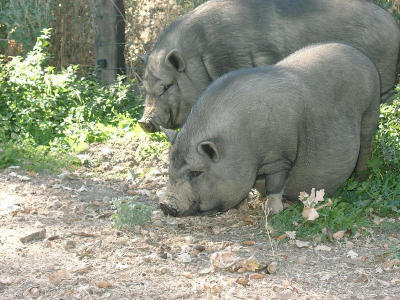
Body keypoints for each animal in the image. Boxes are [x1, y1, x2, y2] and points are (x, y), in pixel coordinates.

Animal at [138, 0, 400, 132]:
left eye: (167, 86)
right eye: (146, 88)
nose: (143, 122)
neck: (201, 55)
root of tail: (393, 23)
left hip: (383, 75)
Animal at [158, 42, 380, 216]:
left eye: (196, 172)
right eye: (170, 166)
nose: (164, 205)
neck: (241, 143)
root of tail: (362, 56)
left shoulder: (280, 157)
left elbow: (275, 184)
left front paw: (271, 211)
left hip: (370, 112)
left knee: (366, 148)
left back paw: (360, 179)